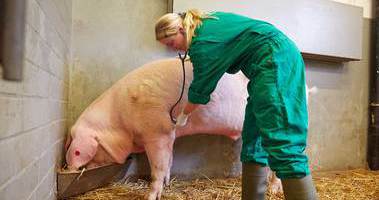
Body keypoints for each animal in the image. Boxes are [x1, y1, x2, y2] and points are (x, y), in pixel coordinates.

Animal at [66, 57, 288, 200]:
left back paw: (274, 191)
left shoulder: (157, 131)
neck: (119, 119)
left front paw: (150, 196)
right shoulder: (170, 135)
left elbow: (158, 166)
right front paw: (166, 184)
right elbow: (169, 161)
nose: (69, 169)